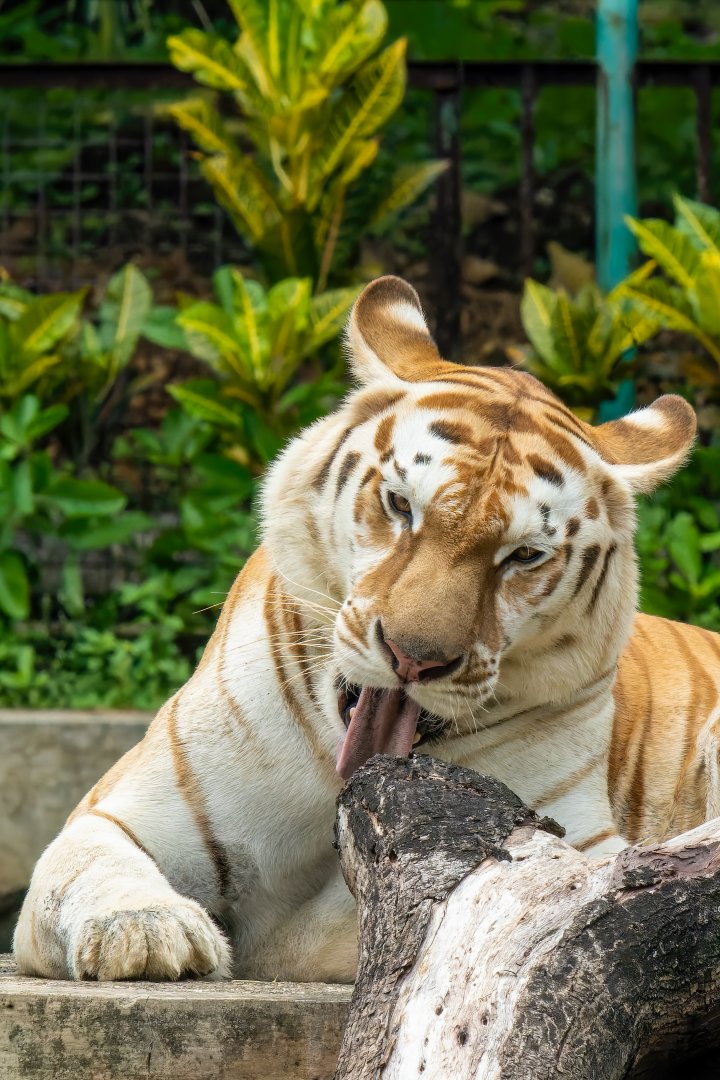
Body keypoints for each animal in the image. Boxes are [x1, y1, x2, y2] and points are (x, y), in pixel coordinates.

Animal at [15, 274, 720, 985]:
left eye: (524, 555)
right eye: (400, 505)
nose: (414, 657)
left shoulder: (578, 844)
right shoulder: (123, 811)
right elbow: (86, 867)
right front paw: (146, 931)